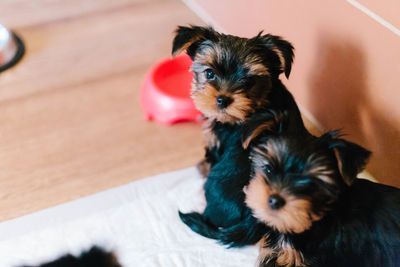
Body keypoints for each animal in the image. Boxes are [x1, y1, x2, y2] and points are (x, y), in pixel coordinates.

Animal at [173, 26, 310, 248]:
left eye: (249, 81)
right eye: (209, 73)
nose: (222, 99)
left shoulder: (217, 142)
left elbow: (210, 158)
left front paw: (201, 167)